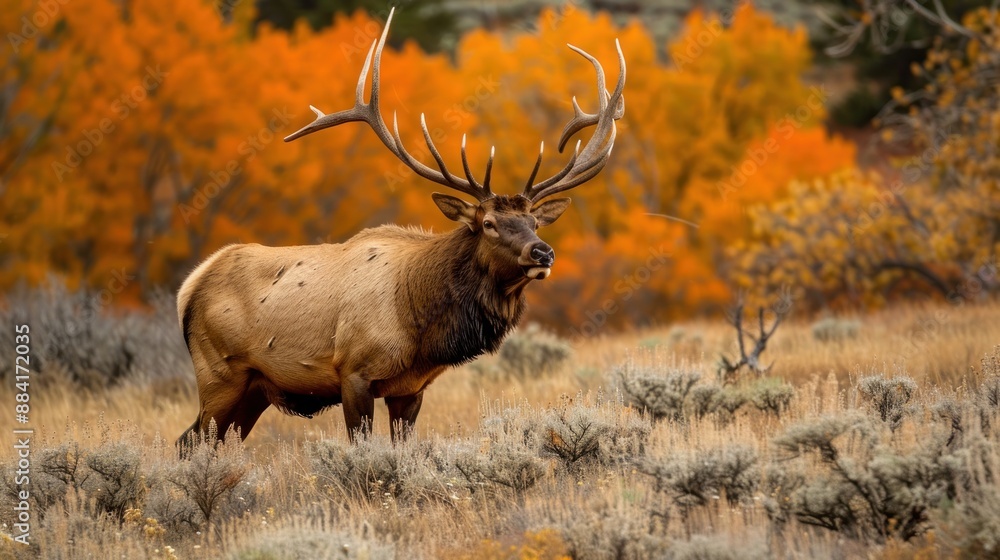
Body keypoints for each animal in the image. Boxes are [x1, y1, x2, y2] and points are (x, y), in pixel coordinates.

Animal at [176, 8, 625, 449]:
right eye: (489, 224)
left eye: (533, 221)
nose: (542, 252)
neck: (420, 325)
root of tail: (190, 286)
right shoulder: (353, 371)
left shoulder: (410, 388)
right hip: (219, 372)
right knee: (192, 440)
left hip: (254, 388)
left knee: (200, 440)